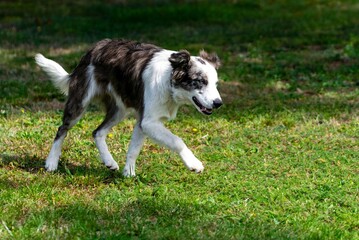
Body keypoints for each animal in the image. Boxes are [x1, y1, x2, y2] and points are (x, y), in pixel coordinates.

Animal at [35, 39, 222, 176]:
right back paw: (51, 162)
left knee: (97, 132)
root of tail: (92, 50)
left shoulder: (143, 122)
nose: (218, 103)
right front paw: (193, 163)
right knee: (62, 129)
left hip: (120, 109)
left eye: (215, 84)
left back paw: (109, 161)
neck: (168, 80)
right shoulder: (148, 122)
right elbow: (177, 140)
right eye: (199, 81)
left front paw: (128, 173)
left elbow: (134, 149)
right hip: (80, 102)